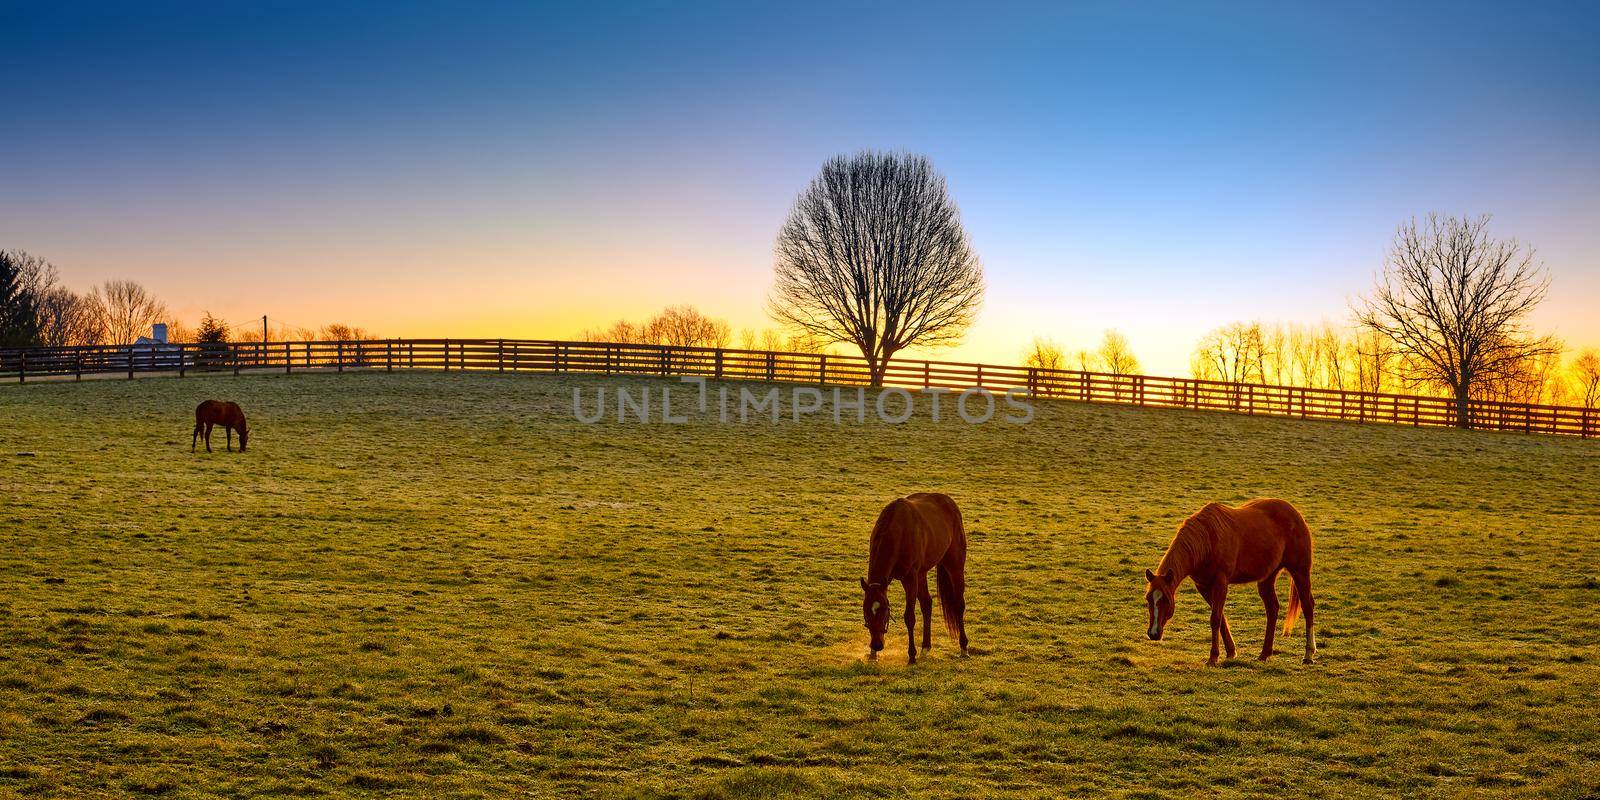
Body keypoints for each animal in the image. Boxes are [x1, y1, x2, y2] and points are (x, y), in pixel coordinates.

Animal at [857, 489, 966, 665]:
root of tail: (949, 502)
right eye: (866, 611)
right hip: (922, 573)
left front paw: (912, 655)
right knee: (927, 604)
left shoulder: (909, 578)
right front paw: (873, 654)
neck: (898, 531)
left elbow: (909, 617)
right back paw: (925, 647)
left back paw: (964, 647)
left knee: (958, 605)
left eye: (885, 610)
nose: (877, 644)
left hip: (954, 566)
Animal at [1145, 499, 1318, 662]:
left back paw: (1308, 654)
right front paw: (1230, 652)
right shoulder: (1203, 586)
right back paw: (1264, 654)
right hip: (1267, 578)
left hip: (1300, 571)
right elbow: (1220, 617)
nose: (1153, 633)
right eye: (1148, 599)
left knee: (1307, 606)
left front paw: (1213, 657)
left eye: (1166, 600)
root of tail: (1295, 513)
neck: (1208, 539)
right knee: (1272, 609)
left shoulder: (1221, 583)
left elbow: (1215, 619)